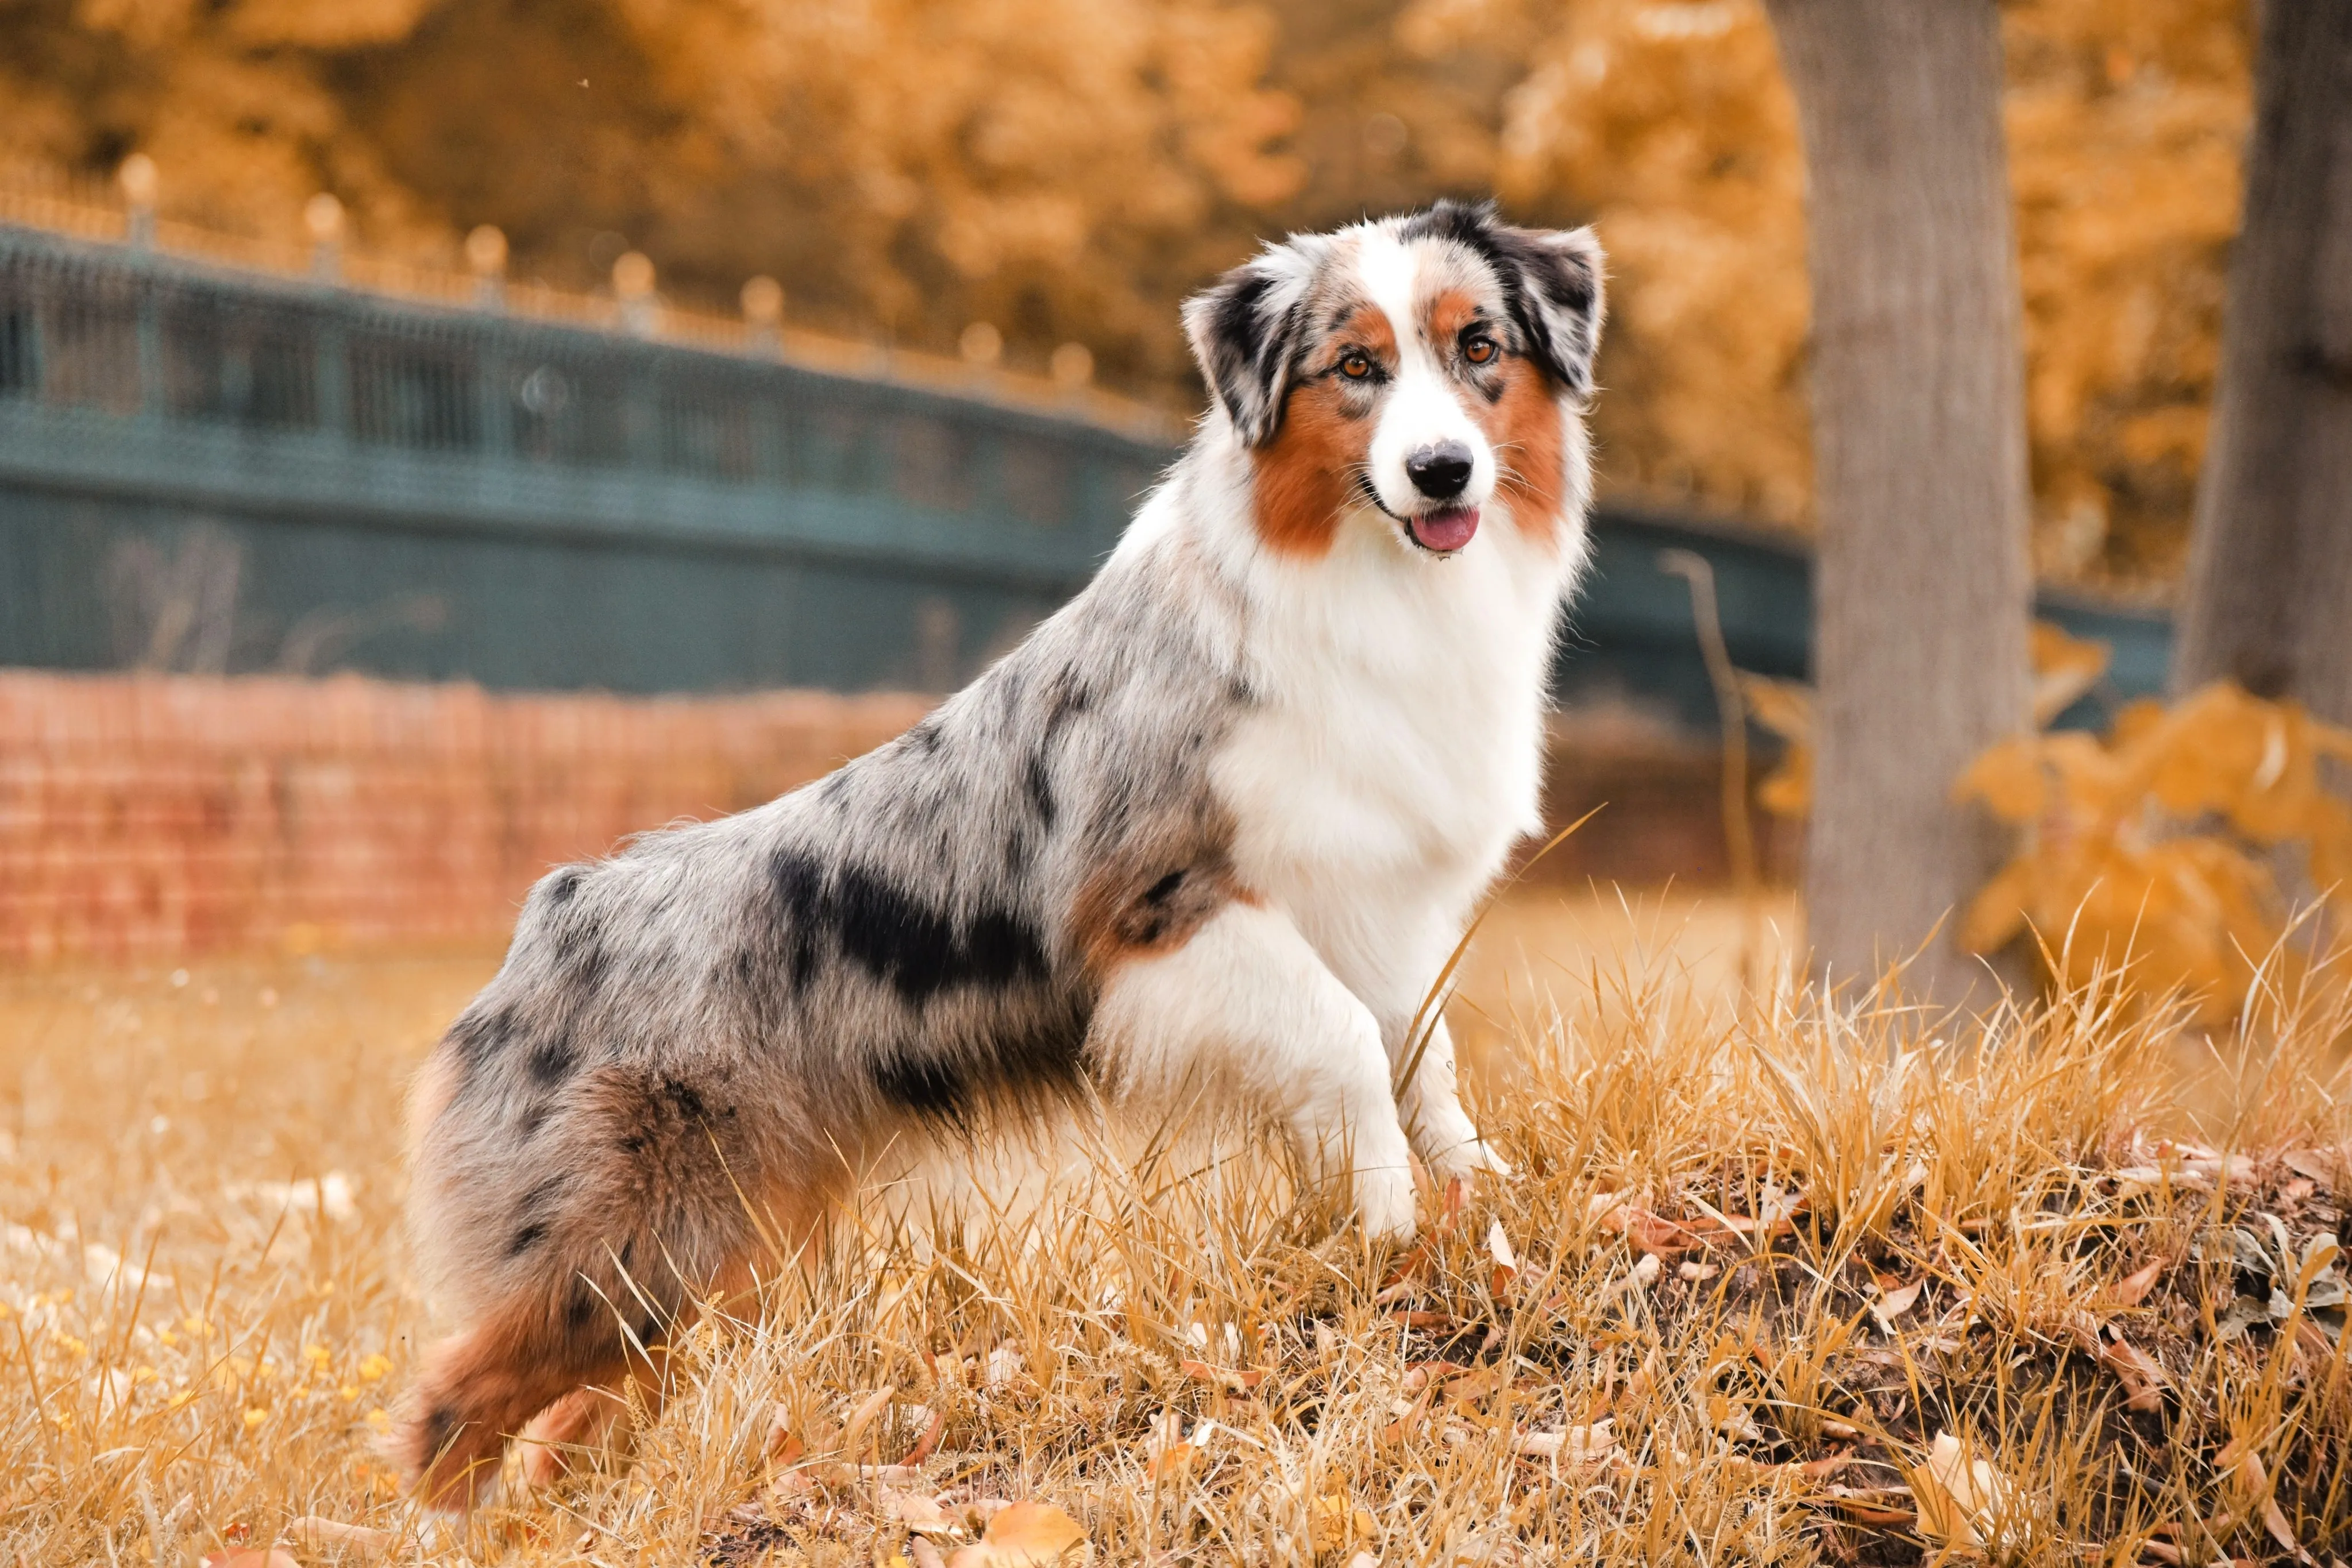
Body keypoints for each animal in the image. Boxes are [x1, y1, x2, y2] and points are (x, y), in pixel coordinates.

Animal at [395, 199, 1599, 1504]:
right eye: (1355, 369)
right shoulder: (1157, 904)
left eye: (1478, 347)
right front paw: (1388, 1227)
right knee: (447, 1412)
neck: (1360, 581)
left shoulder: (1375, 903)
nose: (1442, 469)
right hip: (625, 1250)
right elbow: (1341, 1043)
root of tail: (550, 914)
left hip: (717, 1262)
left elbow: (1418, 1052)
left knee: (567, 1432)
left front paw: (1484, 1203)